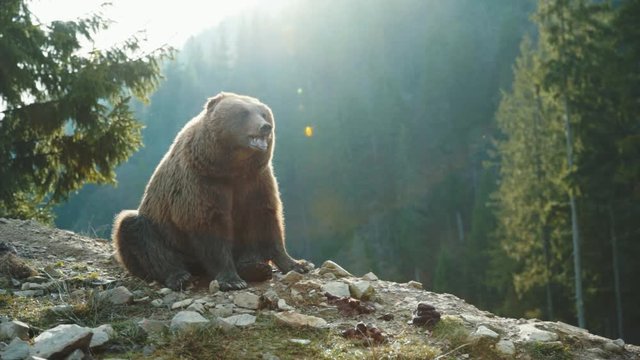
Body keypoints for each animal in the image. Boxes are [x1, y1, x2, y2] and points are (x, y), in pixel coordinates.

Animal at [112, 92, 312, 290]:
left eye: (263, 113)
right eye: (244, 113)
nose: (265, 127)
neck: (231, 167)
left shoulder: (255, 180)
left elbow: (266, 216)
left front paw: (299, 264)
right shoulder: (202, 182)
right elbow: (210, 225)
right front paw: (232, 280)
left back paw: (255, 267)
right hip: (164, 232)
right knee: (135, 231)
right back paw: (179, 276)